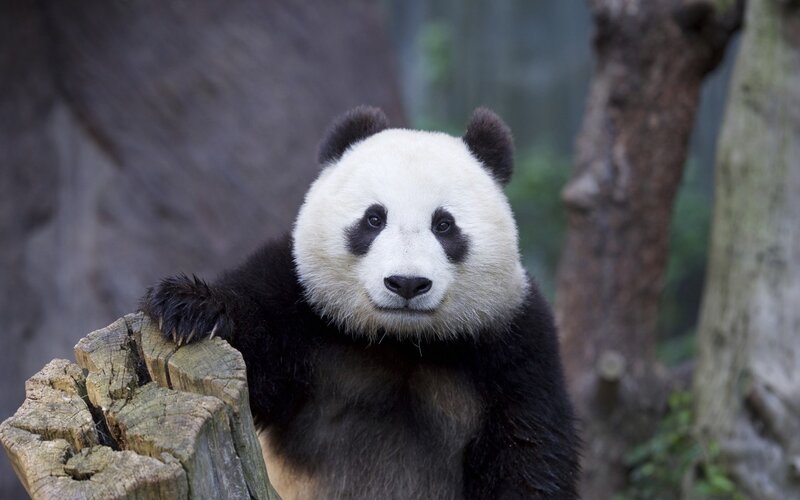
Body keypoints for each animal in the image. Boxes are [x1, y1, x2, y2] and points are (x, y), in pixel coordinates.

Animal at [141, 106, 579, 499]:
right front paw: (187, 308)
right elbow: (254, 341)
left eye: (444, 225)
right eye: (374, 218)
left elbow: (529, 452)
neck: (402, 342)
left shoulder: (514, 347)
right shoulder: (299, 301)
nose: (406, 283)